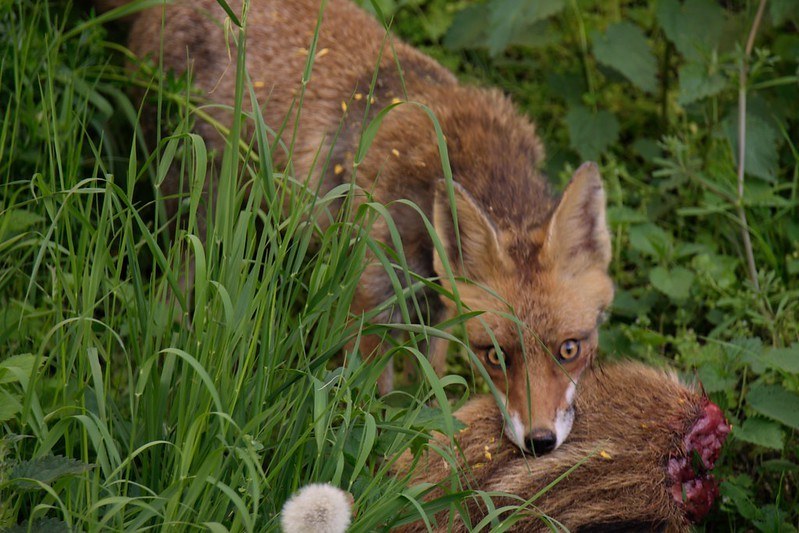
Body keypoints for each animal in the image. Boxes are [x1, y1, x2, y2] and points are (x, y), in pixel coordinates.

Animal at [109, 0, 616, 454]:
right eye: (496, 356)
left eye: (570, 349)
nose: (539, 443)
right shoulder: (368, 300)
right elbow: (376, 409)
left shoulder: (437, 309)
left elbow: (429, 385)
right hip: (199, 214)